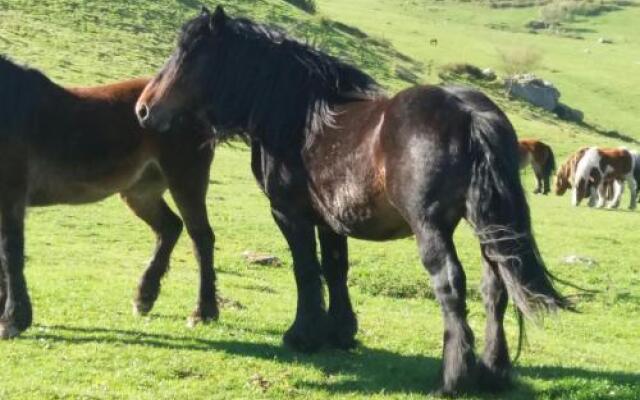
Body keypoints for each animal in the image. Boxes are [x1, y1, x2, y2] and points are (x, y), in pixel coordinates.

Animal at [0, 54, 218, 340]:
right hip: (140, 193)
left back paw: (203, 313)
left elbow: (10, 253)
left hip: (185, 180)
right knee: (170, 227)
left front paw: (13, 319)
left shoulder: (11, 196)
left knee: (201, 238)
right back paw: (144, 297)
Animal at [136, 7, 568, 396]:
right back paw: (494, 372)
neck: (299, 119)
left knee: (450, 283)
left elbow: (306, 270)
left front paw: (303, 334)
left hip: (431, 227)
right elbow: (335, 269)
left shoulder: (289, 214)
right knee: (495, 288)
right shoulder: (331, 220)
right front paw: (340, 332)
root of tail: (468, 112)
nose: (143, 108)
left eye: (187, 55)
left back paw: (453, 378)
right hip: (486, 225)